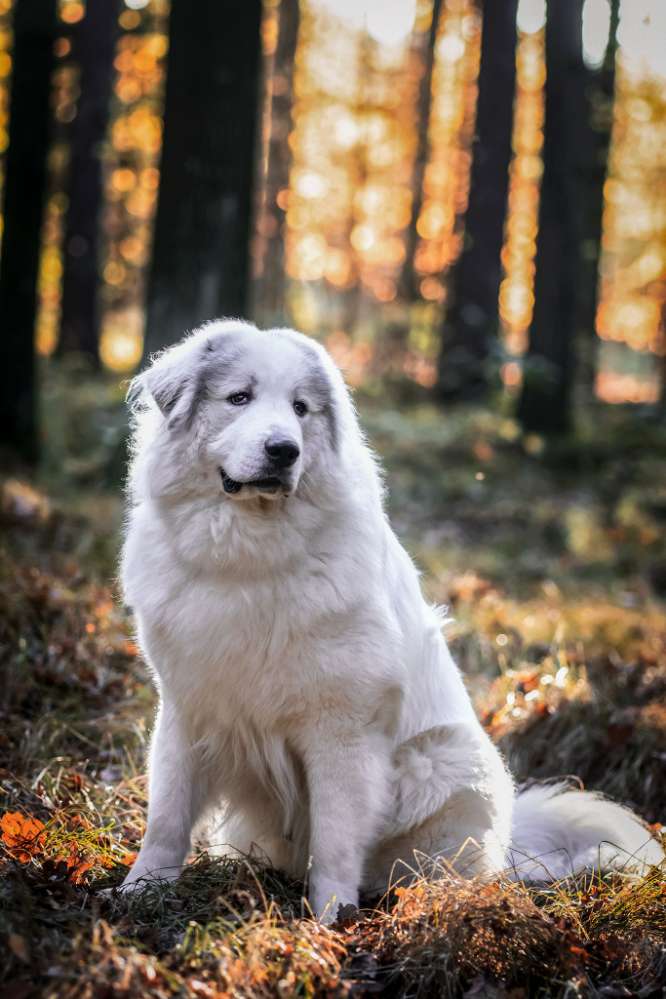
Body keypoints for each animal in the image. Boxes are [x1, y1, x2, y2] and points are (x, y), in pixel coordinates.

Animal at [118, 318, 660, 916]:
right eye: (239, 397)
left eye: (301, 408)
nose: (284, 450)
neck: (249, 557)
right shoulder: (186, 708)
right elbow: (167, 815)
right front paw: (141, 890)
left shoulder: (342, 731)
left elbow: (335, 836)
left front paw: (330, 917)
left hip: (446, 762)